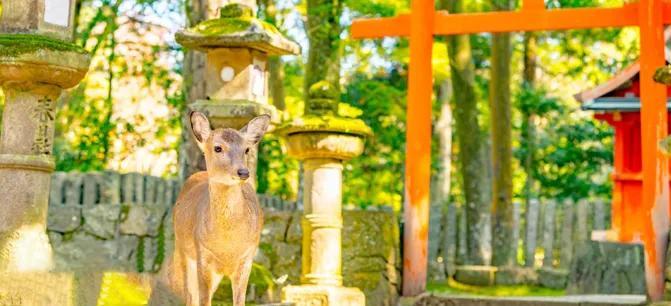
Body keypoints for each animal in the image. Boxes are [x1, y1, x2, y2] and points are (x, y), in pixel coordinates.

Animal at [155, 112, 270, 306]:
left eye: (247, 149)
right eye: (217, 148)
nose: (243, 172)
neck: (227, 246)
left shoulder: (247, 257)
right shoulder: (202, 255)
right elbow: (203, 300)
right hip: (182, 250)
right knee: (189, 296)